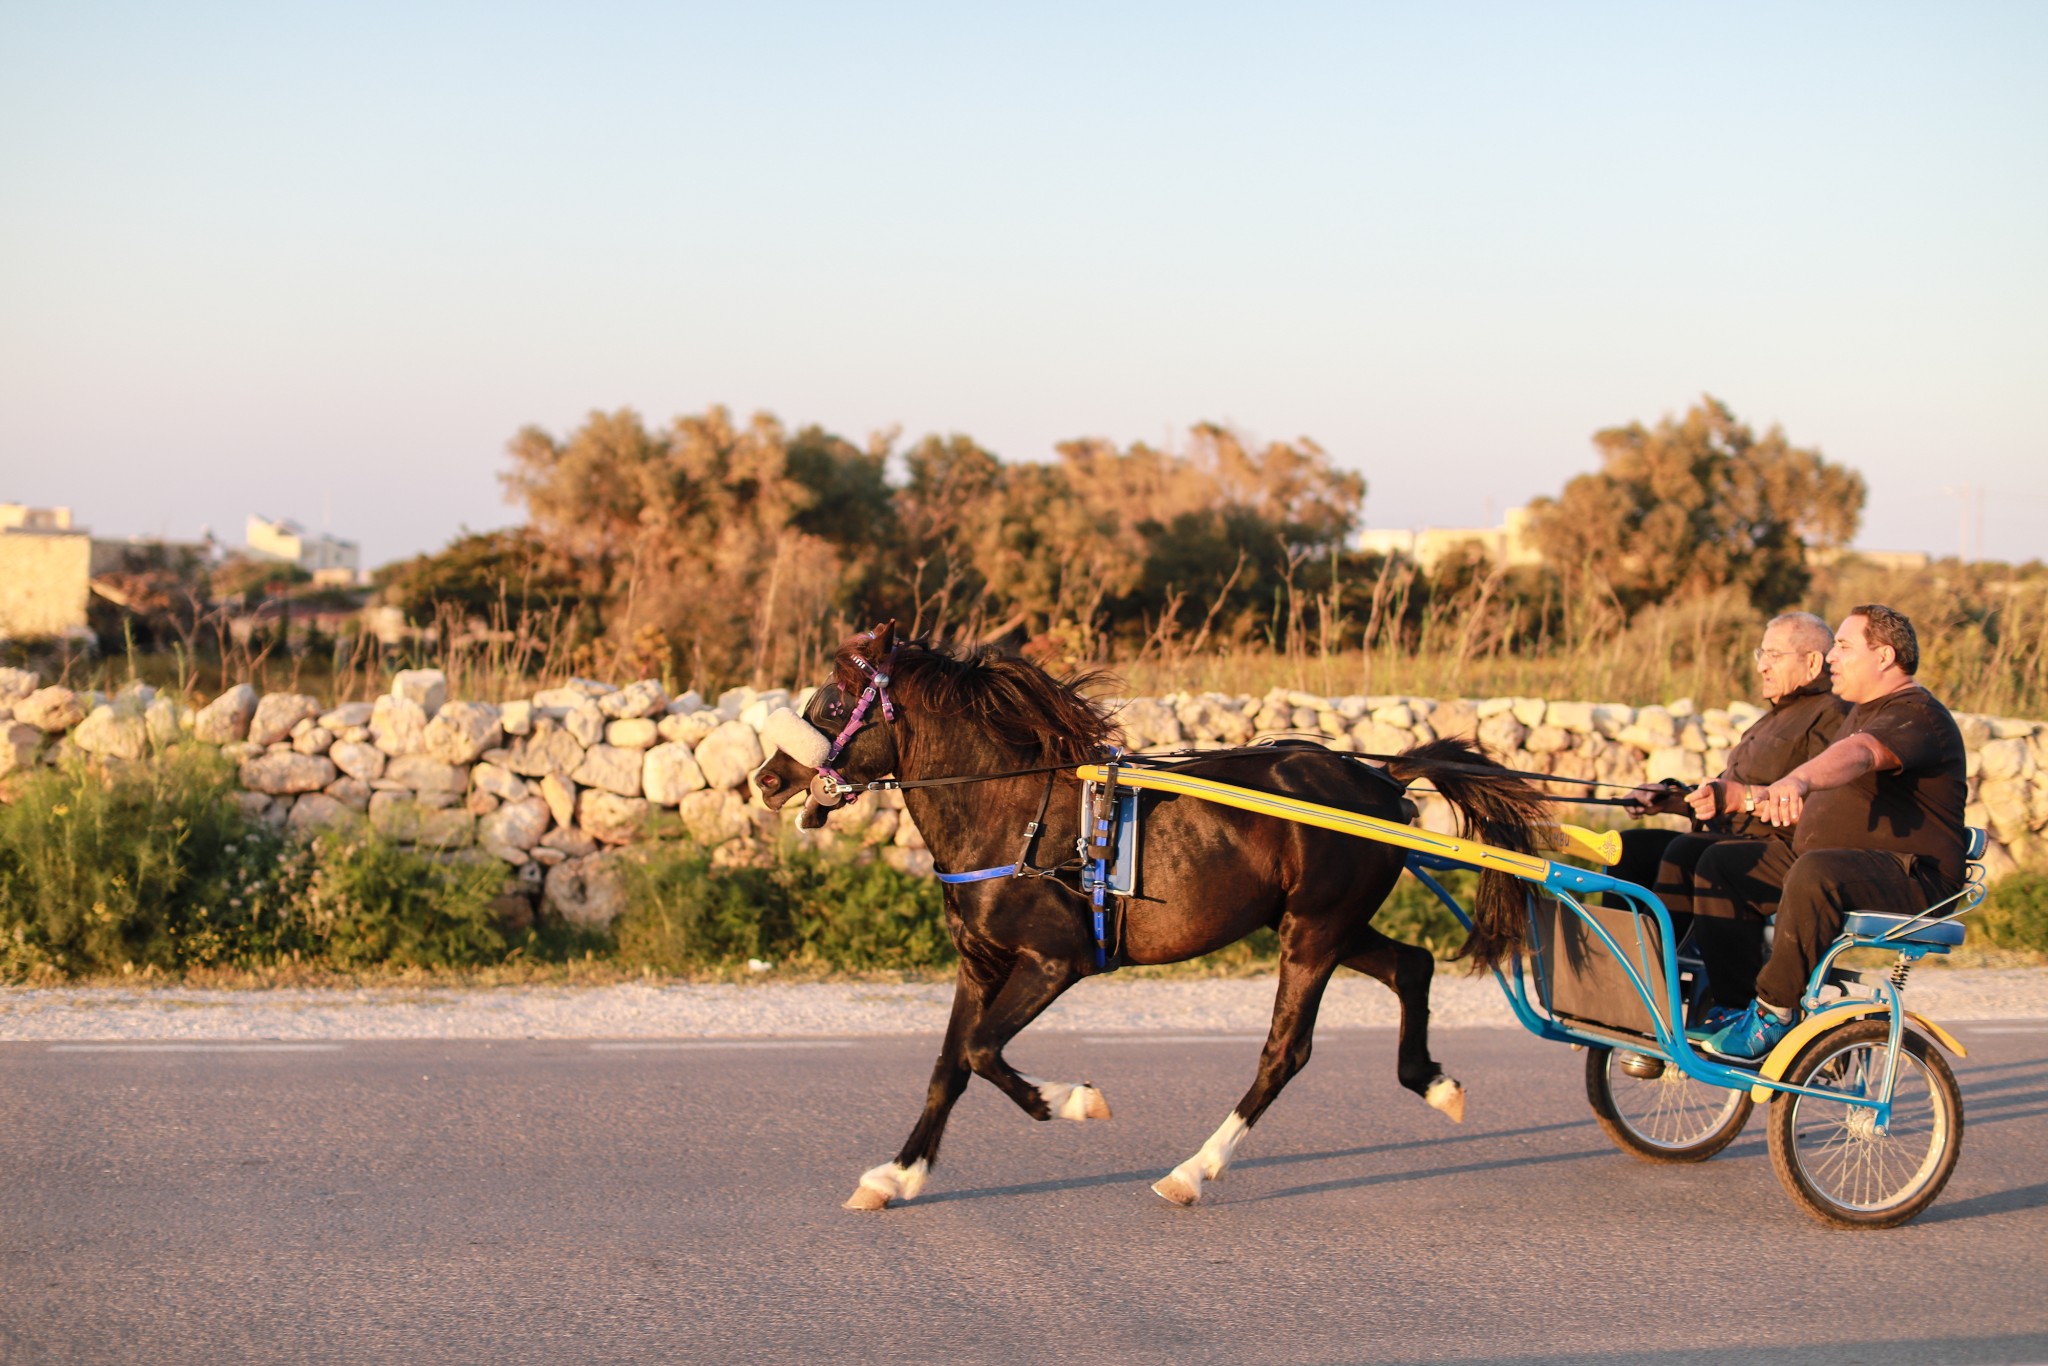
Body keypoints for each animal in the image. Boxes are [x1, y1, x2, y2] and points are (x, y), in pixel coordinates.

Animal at [749, 618, 1540, 1204]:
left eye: (831, 703)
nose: (766, 779)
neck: (1013, 813)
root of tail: (1380, 780)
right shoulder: (981, 961)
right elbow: (950, 1065)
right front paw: (897, 1175)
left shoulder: (1055, 961)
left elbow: (982, 1051)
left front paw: (1074, 1100)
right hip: (1326, 925)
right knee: (1413, 965)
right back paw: (1435, 1084)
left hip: (1313, 934)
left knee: (1286, 1051)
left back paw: (1194, 1170)